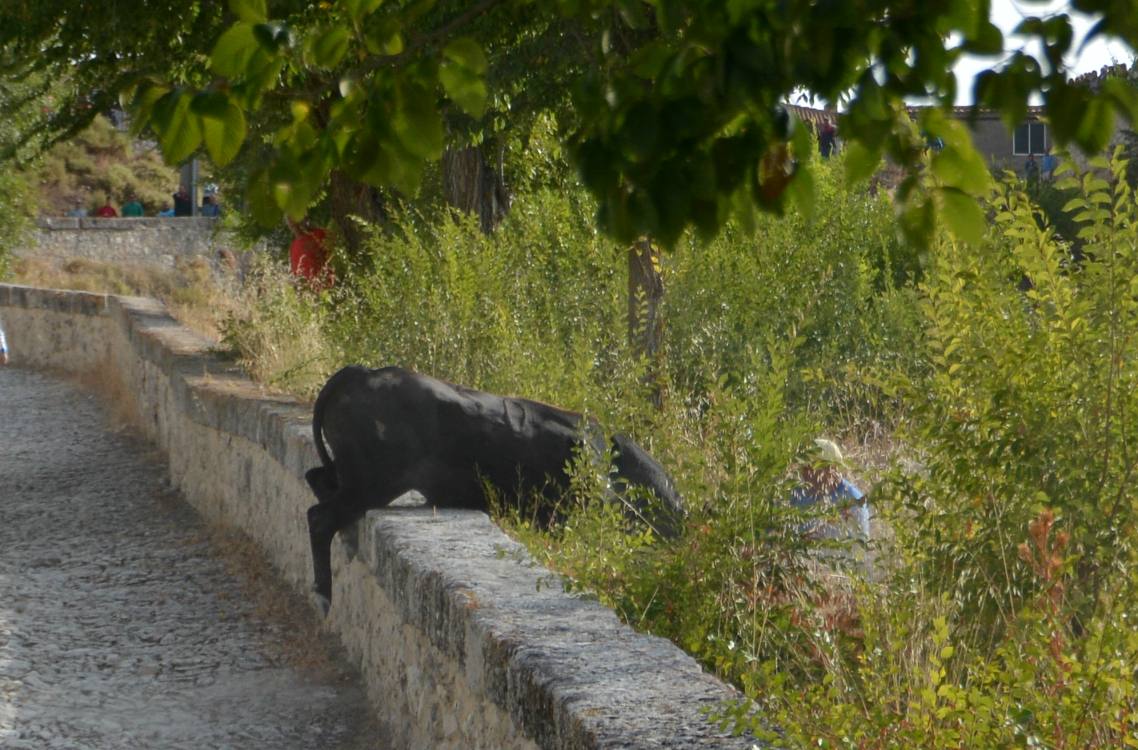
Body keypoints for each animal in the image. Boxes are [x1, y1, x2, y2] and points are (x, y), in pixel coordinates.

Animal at [302, 366, 682, 605]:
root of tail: (362, 372)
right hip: (372, 481)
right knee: (320, 516)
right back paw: (323, 593)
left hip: (351, 476)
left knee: (316, 481)